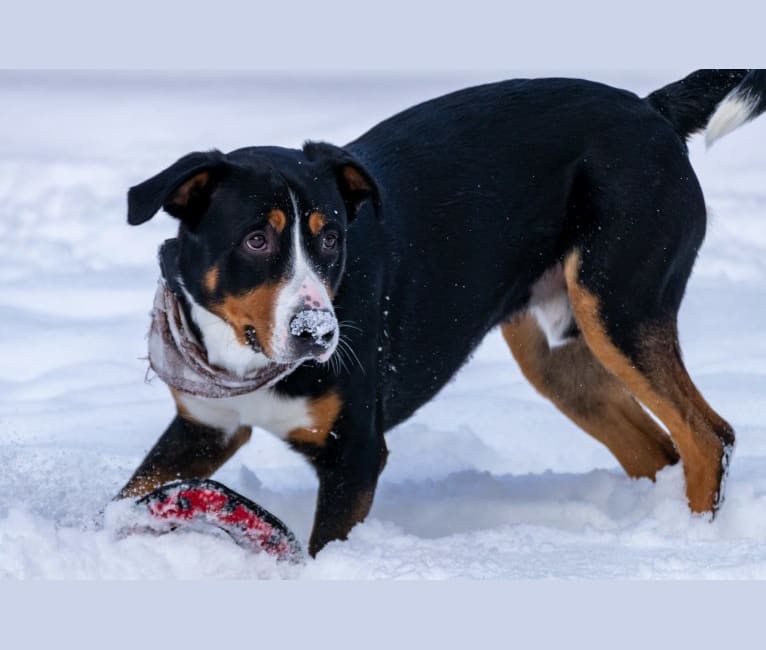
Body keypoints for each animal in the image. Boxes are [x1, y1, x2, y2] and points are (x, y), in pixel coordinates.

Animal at [118, 69, 766, 552]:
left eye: (331, 238)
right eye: (256, 239)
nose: (318, 333)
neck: (248, 361)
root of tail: (650, 108)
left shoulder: (355, 452)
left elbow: (322, 549)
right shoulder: (205, 426)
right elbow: (127, 497)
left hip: (618, 305)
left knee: (708, 436)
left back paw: (690, 543)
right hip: (559, 358)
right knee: (657, 450)